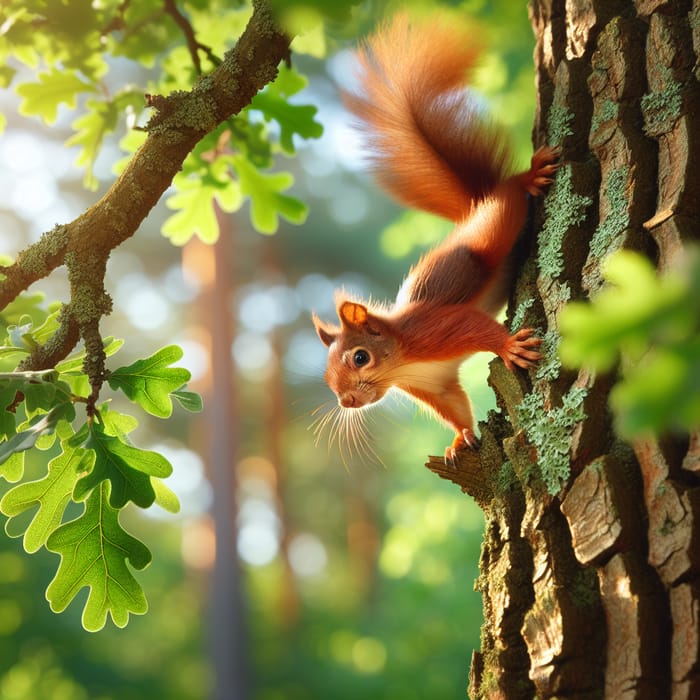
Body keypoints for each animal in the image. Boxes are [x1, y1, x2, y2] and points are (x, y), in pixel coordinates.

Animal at [312, 13, 556, 462]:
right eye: (326, 375)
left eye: (360, 357)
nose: (347, 402)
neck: (403, 359)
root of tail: (476, 205)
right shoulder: (434, 384)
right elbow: (454, 406)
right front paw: (460, 438)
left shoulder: (437, 329)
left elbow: (478, 328)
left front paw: (509, 346)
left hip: (492, 229)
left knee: (508, 198)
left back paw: (528, 177)